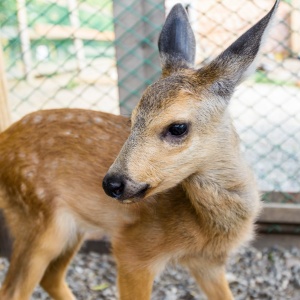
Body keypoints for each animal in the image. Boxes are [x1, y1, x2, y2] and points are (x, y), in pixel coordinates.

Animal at [0, 1, 278, 298]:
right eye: (132, 120)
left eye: (178, 127)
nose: (112, 183)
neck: (204, 226)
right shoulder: (133, 250)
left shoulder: (208, 263)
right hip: (37, 221)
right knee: (14, 288)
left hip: (70, 227)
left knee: (50, 277)